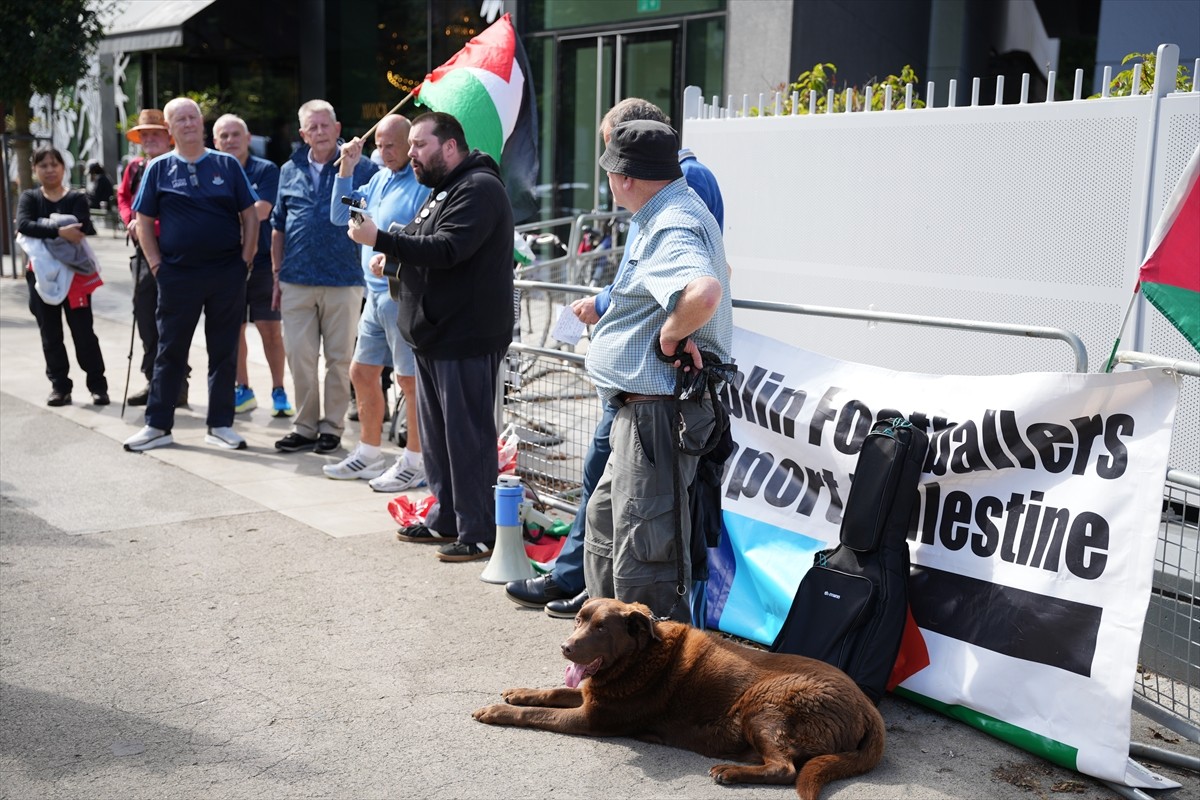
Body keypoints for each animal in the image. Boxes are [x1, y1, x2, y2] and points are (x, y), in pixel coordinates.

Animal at [472, 597, 888, 796]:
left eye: (602, 628)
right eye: (578, 619)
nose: (565, 647)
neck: (640, 656)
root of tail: (870, 709)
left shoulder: (593, 718)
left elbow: (535, 715)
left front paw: (496, 710)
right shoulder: (592, 696)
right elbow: (555, 690)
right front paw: (517, 692)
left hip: (764, 707)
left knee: (785, 769)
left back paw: (730, 772)